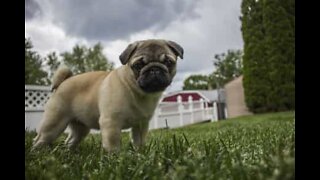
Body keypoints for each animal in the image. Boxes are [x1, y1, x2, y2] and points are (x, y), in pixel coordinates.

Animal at [32, 39, 184, 152]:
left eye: (168, 62)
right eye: (138, 65)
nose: (154, 69)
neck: (136, 91)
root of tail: (63, 82)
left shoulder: (140, 125)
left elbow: (139, 142)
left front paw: (140, 154)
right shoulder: (111, 123)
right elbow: (113, 144)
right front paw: (114, 158)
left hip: (81, 128)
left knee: (71, 140)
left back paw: (69, 152)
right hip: (54, 123)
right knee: (40, 139)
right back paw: (38, 152)